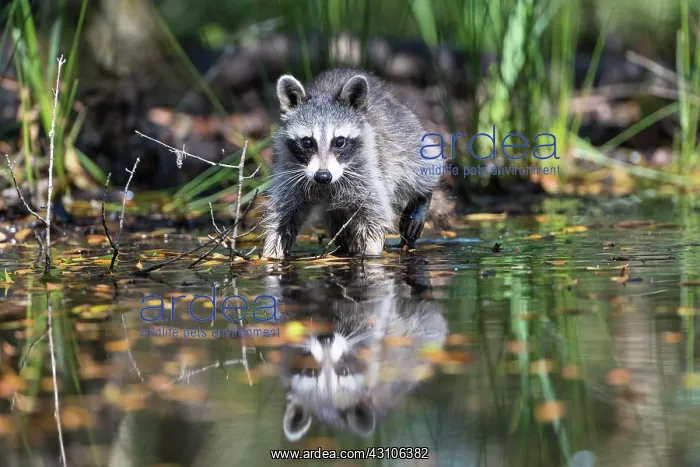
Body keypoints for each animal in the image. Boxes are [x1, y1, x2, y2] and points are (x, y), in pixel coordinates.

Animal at [262, 68, 444, 259]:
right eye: (307, 142)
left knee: (421, 165)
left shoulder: (367, 171)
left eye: (339, 141)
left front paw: (370, 254)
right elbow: (283, 218)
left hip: (406, 136)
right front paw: (270, 256)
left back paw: (423, 195)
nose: (323, 176)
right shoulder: (288, 172)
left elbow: (374, 216)